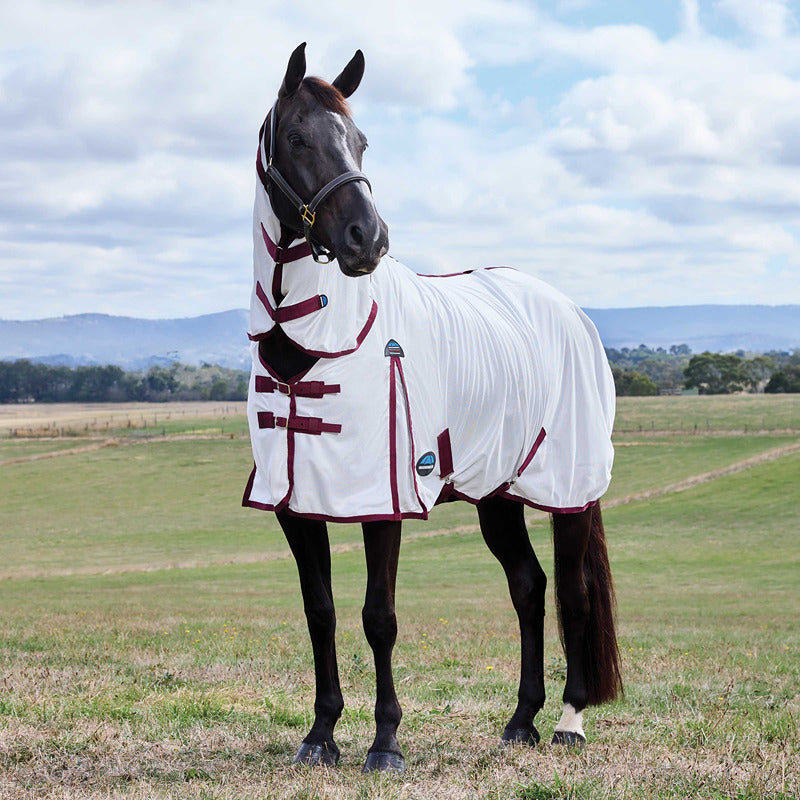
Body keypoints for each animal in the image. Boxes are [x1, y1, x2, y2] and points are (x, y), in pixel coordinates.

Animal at [243, 43, 623, 775]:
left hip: (567, 488)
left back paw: (569, 721)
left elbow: (379, 616)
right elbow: (321, 610)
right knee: (529, 586)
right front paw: (321, 735)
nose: (367, 239)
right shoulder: (295, 503)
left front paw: (385, 742)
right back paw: (520, 720)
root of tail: (568, 309)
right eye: (299, 139)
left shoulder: (381, 498)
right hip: (498, 492)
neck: (315, 338)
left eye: (360, 140)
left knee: (574, 590)